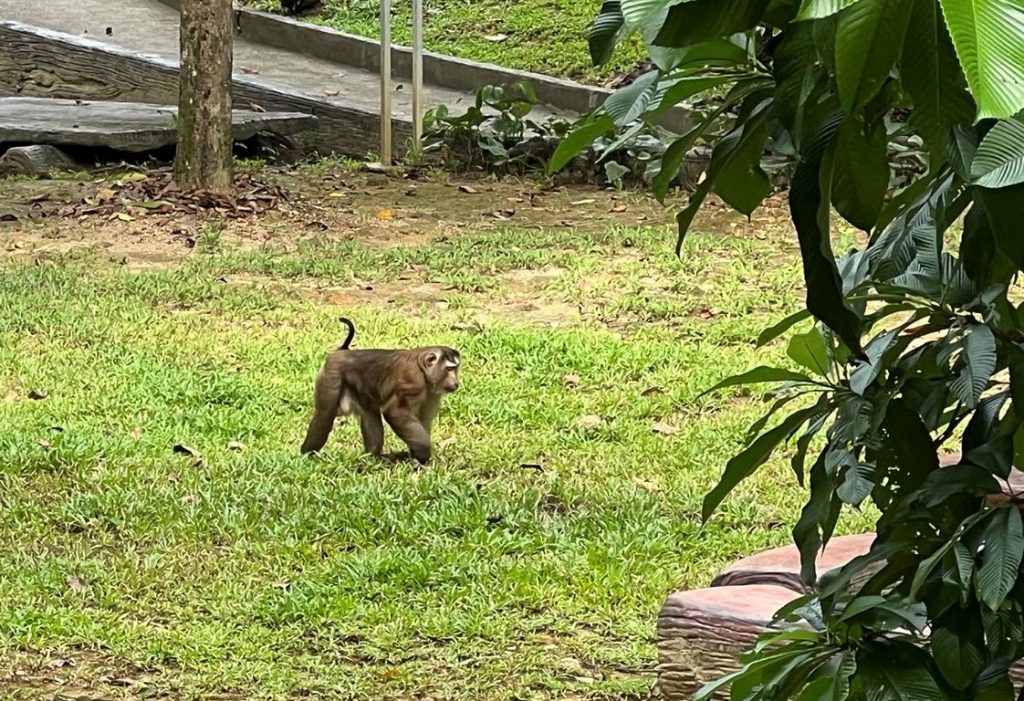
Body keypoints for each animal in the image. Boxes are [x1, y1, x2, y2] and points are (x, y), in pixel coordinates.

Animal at [300, 317, 460, 464]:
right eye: (449, 369)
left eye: (456, 369)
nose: (456, 382)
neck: (423, 371)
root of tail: (341, 352)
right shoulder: (413, 382)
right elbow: (394, 412)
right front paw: (423, 453)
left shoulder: (431, 393)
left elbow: (423, 419)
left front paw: (415, 455)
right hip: (332, 375)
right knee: (325, 414)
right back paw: (307, 454)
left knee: (369, 414)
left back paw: (375, 457)